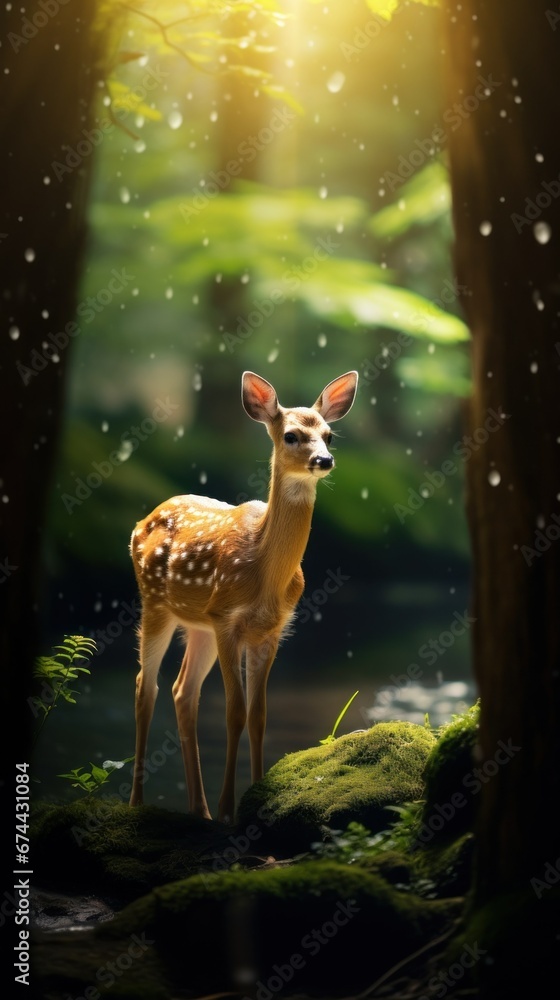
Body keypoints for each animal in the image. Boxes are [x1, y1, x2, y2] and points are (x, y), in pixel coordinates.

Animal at [128, 369, 358, 823]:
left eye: (329, 435)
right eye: (291, 435)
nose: (324, 460)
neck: (264, 573)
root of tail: (140, 522)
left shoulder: (269, 631)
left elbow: (259, 716)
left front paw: (257, 794)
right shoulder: (227, 619)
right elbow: (234, 713)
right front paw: (229, 809)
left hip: (198, 625)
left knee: (183, 691)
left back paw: (198, 810)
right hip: (156, 603)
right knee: (147, 687)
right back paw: (139, 804)